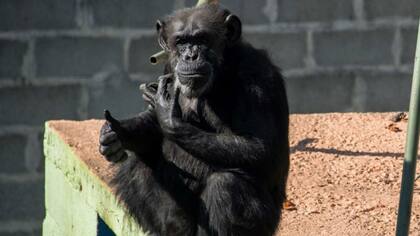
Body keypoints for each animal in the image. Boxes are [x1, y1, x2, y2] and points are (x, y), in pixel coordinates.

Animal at [98, 3, 288, 236]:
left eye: (202, 39)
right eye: (181, 42)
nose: (190, 56)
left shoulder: (257, 76)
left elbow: (260, 147)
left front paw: (169, 116)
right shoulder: (168, 67)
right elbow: (151, 123)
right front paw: (115, 133)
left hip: (265, 226)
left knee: (226, 184)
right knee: (137, 166)